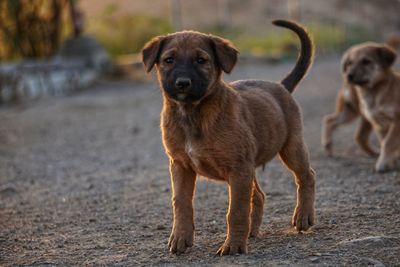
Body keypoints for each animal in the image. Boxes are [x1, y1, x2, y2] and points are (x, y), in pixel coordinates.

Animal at [141, 19, 316, 256]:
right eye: (169, 60)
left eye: (201, 60)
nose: (182, 83)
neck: (193, 114)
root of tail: (281, 86)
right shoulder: (180, 165)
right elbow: (181, 204)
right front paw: (180, 238)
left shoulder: (237, 167)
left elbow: (236, 211)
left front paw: (233, 245)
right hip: (251, 166)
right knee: (258, 196)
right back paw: (251, 231)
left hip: (291, 147)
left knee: (306, 176)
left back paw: (303, 216)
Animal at [332, 41, 400, 172]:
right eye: (349, 63)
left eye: (366, 61)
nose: (348, 76)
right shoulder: (379, 124)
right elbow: (385, 142)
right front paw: (391, 162)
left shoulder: (396, 121)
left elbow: (388, 142)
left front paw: (383, 163)